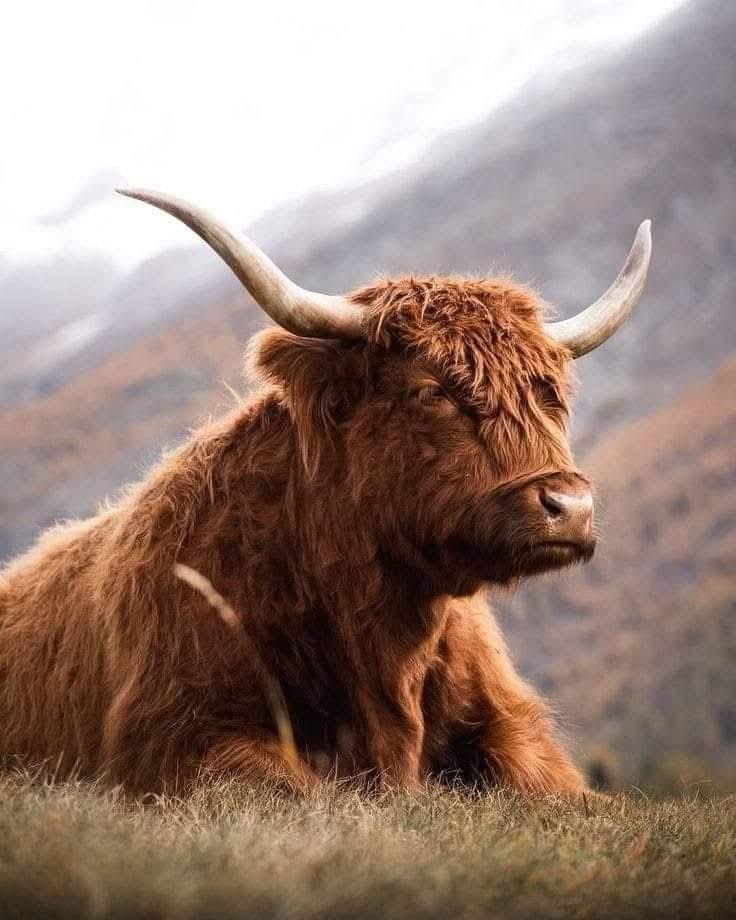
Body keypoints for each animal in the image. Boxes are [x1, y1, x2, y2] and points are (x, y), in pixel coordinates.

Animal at [0, 189, 652, 795]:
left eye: (551, 395)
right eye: (430, 391)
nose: (569, 507)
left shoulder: (516, 729)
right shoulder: (175, 733)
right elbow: (296, 789)